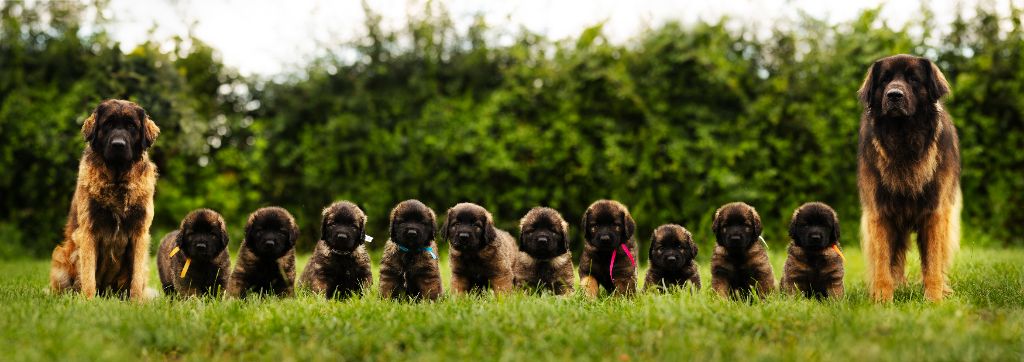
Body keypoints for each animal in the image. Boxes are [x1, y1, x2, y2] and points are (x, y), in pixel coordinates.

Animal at [49, 98, 159, 300]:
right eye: (107, 124)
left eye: (131, 126)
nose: (118, 144)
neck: (117, 179)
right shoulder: (88, 231)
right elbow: (88, 274)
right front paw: (88, 301)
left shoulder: (140, 232)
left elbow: (137, 277)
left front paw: (136, 303)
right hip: (61, 255)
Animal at [856, 54, 958, 302]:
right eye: (884, 80)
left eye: (913, 79)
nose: (894, 95)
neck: (903, 138)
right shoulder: (880, 213)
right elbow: (883, 261)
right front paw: (882, 299)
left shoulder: (934, 213)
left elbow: (932, 261)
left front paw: (934, 299)